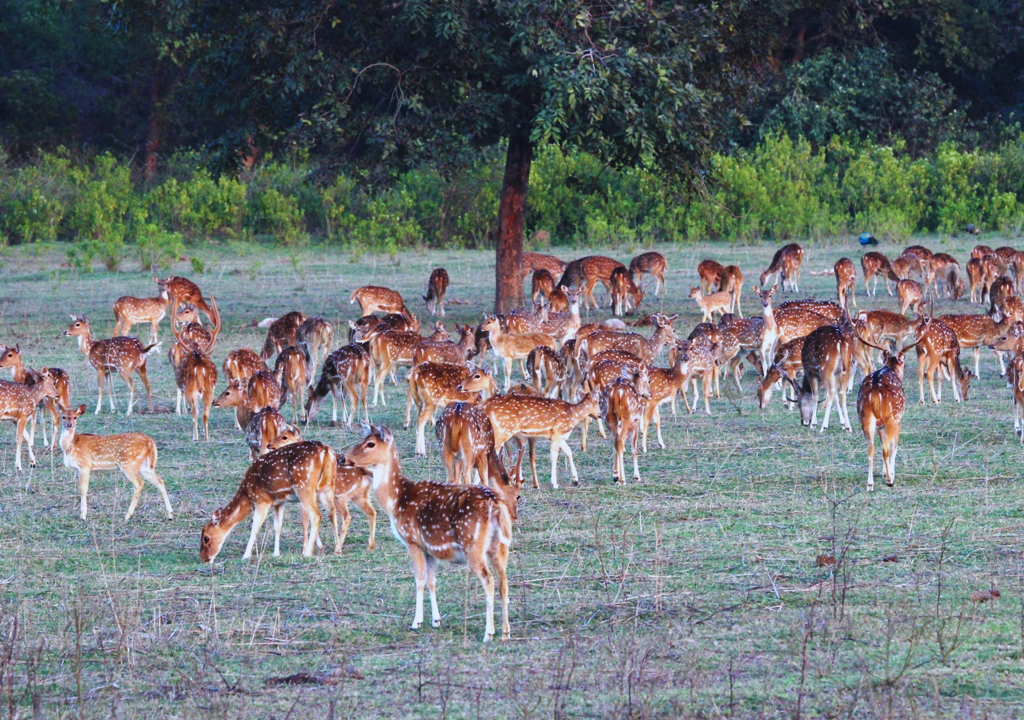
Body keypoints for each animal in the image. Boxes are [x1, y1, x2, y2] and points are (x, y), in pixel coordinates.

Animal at [200, 440, 340, 562]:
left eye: (206, 538)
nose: (204, 559)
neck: (247, 493)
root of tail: (326, 450)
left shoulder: (262, 500)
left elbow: (255, 527)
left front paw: (246, 555)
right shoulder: (280, 501)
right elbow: (277, 525)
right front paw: (276, 553)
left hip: (304, 485)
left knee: (316, 515)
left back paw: (307, 553)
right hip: (328, 485)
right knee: (332, 512)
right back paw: (338, 549)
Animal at [343, 424, 521, 642]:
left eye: (370, 443)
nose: (342, 458)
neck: (396, 501)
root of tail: (495, 506)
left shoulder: (412, 541)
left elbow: (419, 580)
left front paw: (416, 622)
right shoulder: (430, 548)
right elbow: (431, 581)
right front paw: (436, 620)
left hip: (473, 544)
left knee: (489, 580)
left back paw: (489, 633)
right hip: (501, 545)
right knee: (504, 580)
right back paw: (506, 632)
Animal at [855, 323, 929, 491]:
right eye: (904, 363)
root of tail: (875, 392)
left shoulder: (879, 425)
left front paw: (884, 472)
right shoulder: (899, 419)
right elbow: (894, 446)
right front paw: (890, 474)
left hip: (865, 416)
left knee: (871, 447)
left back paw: (870, 484)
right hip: (892, 416)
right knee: (886, 447)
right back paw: (890, 481)